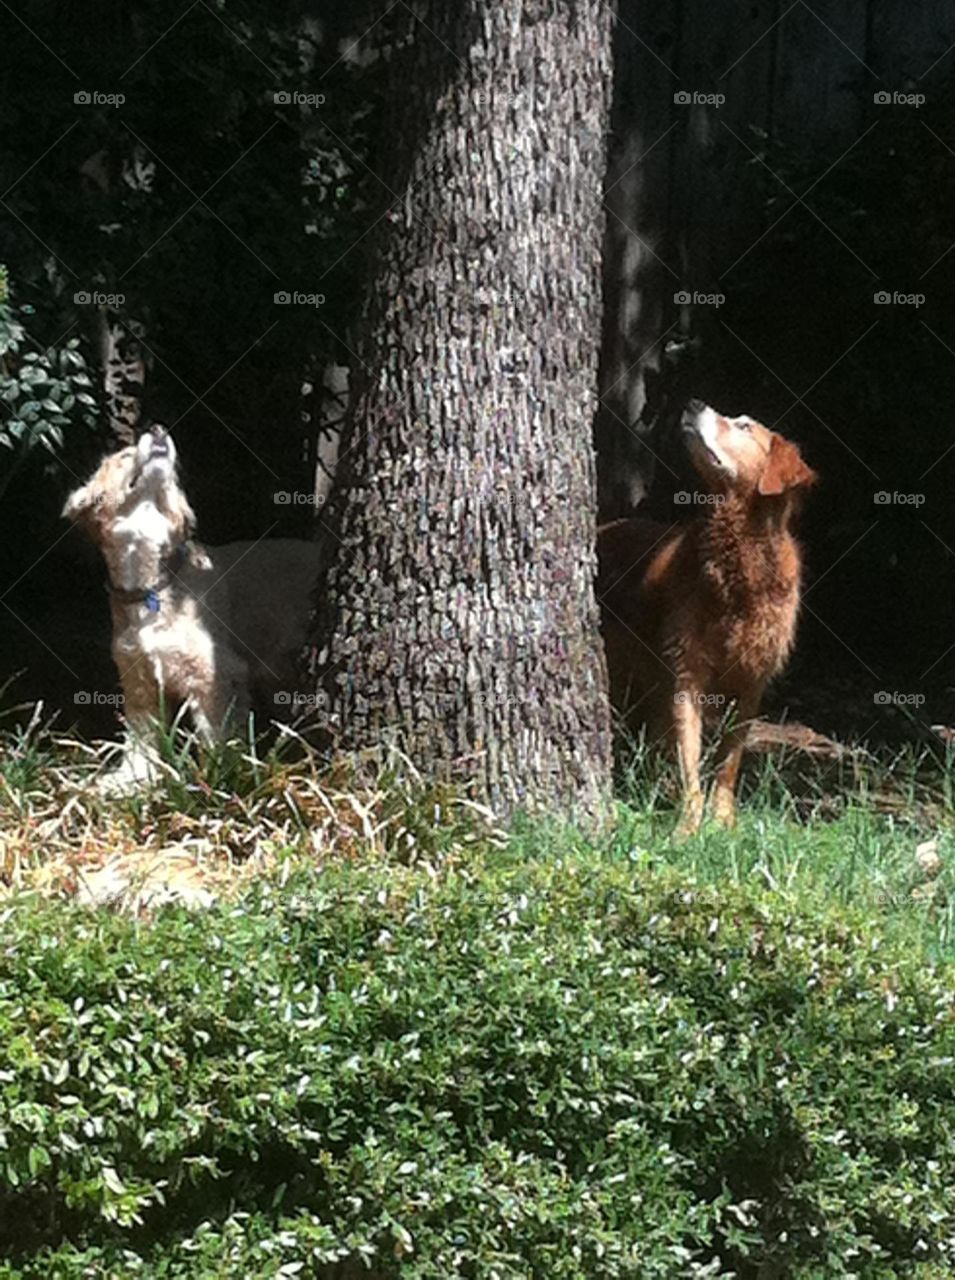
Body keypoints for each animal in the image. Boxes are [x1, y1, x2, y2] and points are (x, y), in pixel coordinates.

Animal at [64, 424, 323, 783]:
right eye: (125, 456)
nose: (157, 428)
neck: (153, 583)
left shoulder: (214, 674)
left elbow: (218, 739)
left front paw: (219, 780)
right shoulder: (139, 679)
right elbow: (140, 740)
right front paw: (128, 780)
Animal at [593, 401, 809, 839]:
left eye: (744, 426)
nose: (692, 404)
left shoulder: (752, 683)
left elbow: (729, 761)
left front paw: (723, 820)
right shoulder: (686, 676)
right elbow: (689, 758)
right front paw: (688, 826)